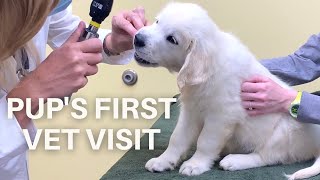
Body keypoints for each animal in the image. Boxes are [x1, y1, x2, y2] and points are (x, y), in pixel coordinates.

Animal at [134, 2, 320, 179]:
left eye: (172, 39)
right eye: (157, 22)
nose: (137, 38)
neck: (208, 71)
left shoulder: (221, 116)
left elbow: (205, 142)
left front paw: (195, 164)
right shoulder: (190, 111)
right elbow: (177, 137)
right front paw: (164, 160)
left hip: (283, 133)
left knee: (268, 156)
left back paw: (234, 160)